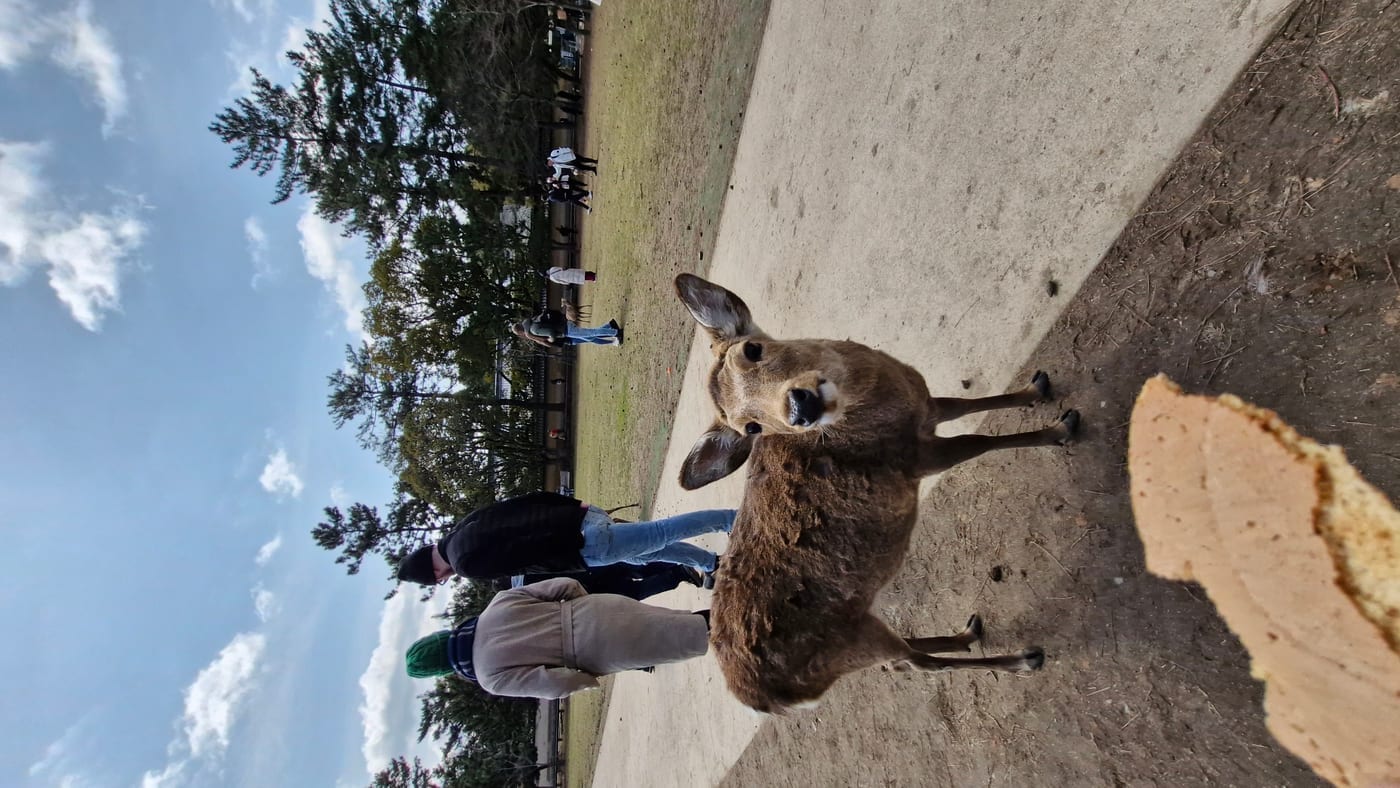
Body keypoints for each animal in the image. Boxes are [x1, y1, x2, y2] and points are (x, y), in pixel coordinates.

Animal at [674, 273, 1079, 713]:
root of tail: (767, 701)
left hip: (859, 630)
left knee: (901, 659)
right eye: (751, 427)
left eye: (752, 349)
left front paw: (1036, 388)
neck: (883, 404)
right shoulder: (915, 459)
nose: (800, 407)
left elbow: (967, 403)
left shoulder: (929, 405)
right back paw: (1022, 658)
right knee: (914, 664)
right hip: (852, 643)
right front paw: (1060, 428)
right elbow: (979, 441)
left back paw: (969, 634)